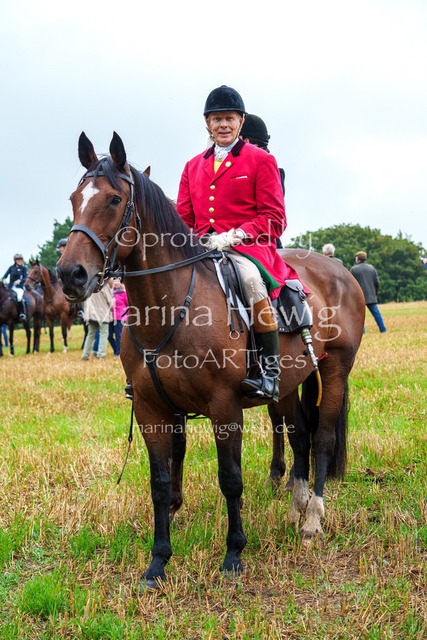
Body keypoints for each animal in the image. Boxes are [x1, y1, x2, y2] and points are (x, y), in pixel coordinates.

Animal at [57, 132, 365, 590]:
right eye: (75, 199)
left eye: (114, 199)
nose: (70, 275)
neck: (170, 308)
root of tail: (337, 269)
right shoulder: (151, 408)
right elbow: (161, 481)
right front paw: (158, 562)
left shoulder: (225, 407)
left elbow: (230, 479)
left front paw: (234, 554)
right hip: (287, 386)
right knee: (299, 435)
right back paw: (296, 507)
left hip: (335, 369)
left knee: (323, 437)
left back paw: (312, 519)